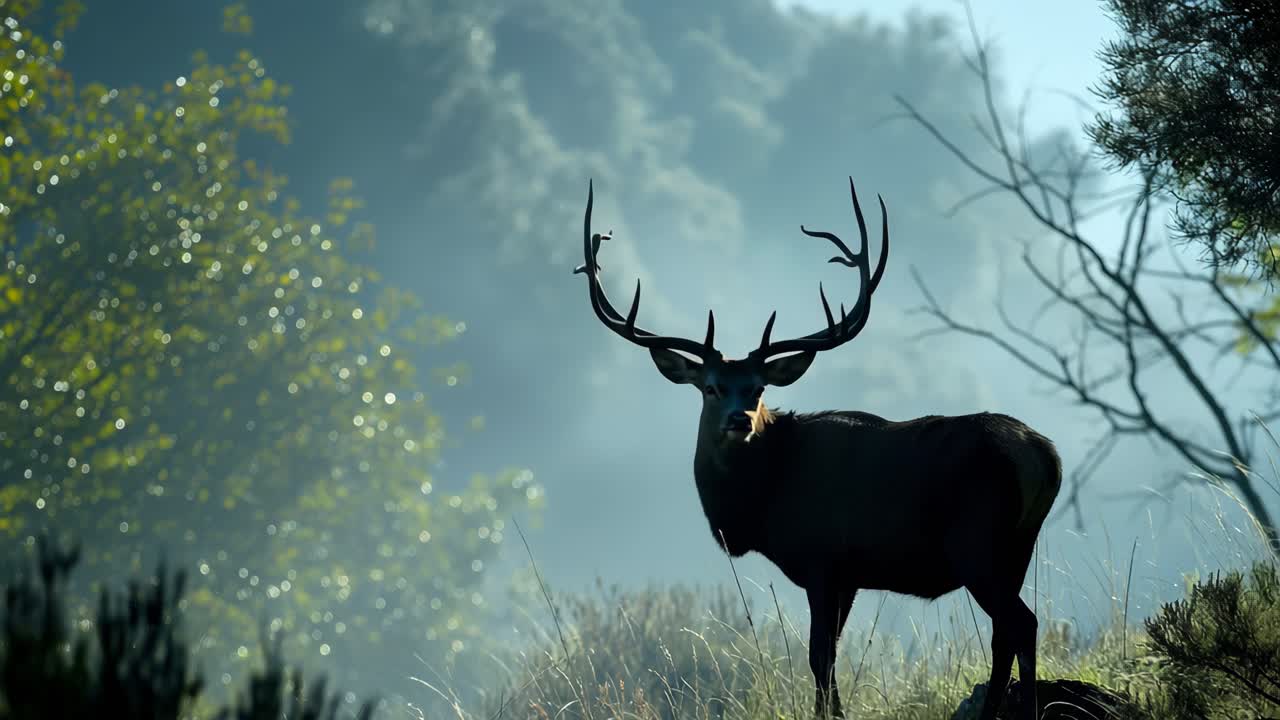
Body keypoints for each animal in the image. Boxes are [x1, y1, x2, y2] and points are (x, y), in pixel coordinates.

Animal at [572, 177, 1062, 720]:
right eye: (711, 387)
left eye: (758, 388)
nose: (740, 420)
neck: (762, 505)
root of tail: (1045, 456)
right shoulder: (847, 575)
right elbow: (828, 654)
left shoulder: (821, 558)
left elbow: (818, 655)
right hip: (1018, 545)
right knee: (1008, 631)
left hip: (978, 542)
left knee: (1020, 624)